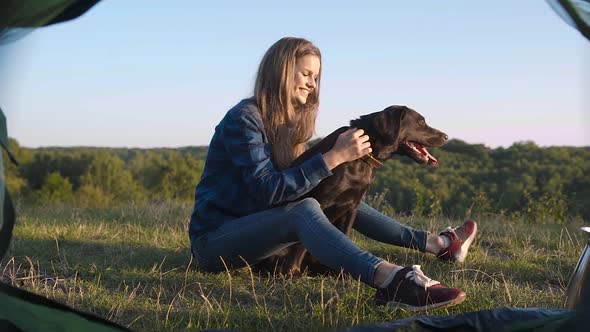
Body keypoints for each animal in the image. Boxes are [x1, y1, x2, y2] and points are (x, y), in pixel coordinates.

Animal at [260, 105, 448, 274]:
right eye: (421, 122)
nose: (446, 136)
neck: (362, 156)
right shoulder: (319, 201)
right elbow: (300, 243)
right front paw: (291, 271)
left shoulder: (352, 206)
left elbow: (344, 234)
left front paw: (340, 272)